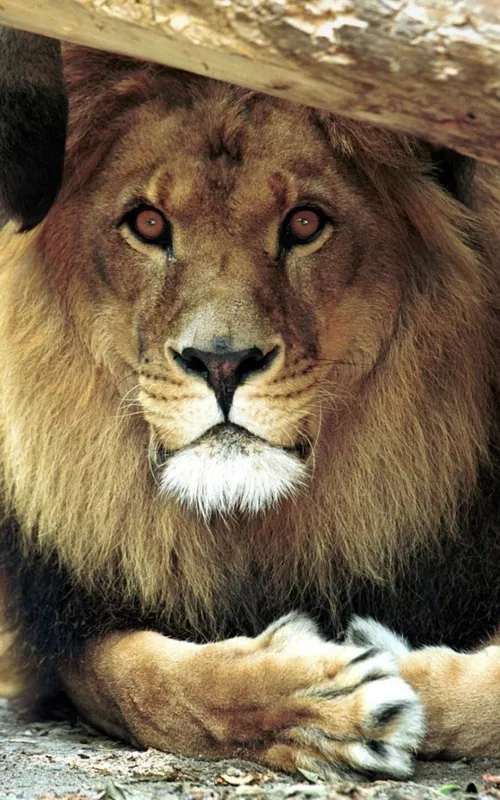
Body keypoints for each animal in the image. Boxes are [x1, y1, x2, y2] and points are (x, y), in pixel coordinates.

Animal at [1, 41, 500, 780]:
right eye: (149, 224)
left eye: (305, 223)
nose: (223, 363)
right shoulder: (67, 619)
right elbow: (139, 681)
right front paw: (321, 699)